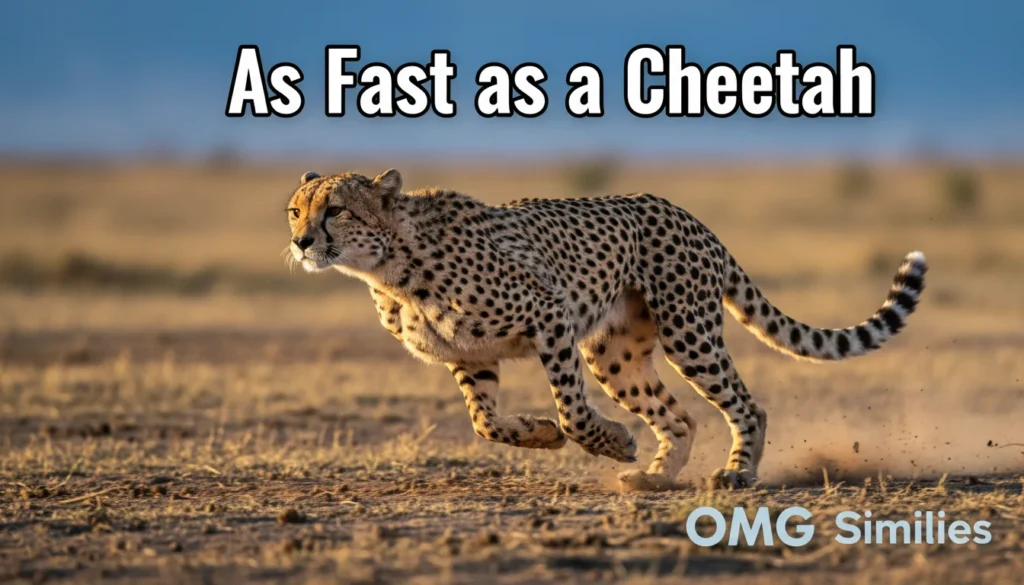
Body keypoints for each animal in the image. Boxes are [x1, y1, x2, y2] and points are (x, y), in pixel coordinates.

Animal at [285, 168, 927, 491]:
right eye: (295, 209)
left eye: (335, 210)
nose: (301, 241)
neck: (389, 268)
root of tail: (689, 215)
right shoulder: (470, 356)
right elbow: (485, 422)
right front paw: (540, 435)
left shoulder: (551, 315)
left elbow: (571, 410)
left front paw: (606, 440)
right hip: (616, 355)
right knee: (680, 417)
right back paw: (656, 477)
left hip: (687, 330)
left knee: (747, 405)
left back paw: (737, 471)